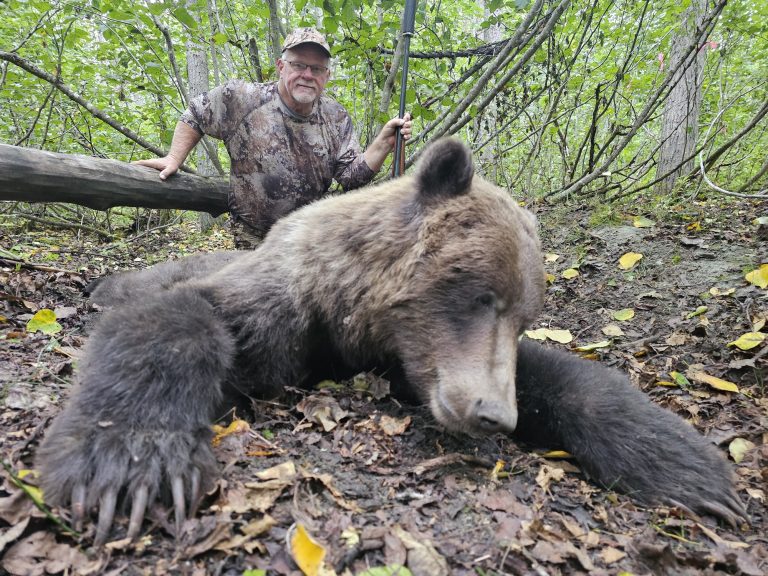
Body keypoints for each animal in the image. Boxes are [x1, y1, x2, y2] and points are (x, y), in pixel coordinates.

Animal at [36, 138, 746, 546]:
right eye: (481, 296)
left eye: (524, 314)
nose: (494, 415)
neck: (351, 314)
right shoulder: (284, 306)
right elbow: (180, 320)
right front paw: (131, 466)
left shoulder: (411, 357)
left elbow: (560, 375)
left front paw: (698, 472)